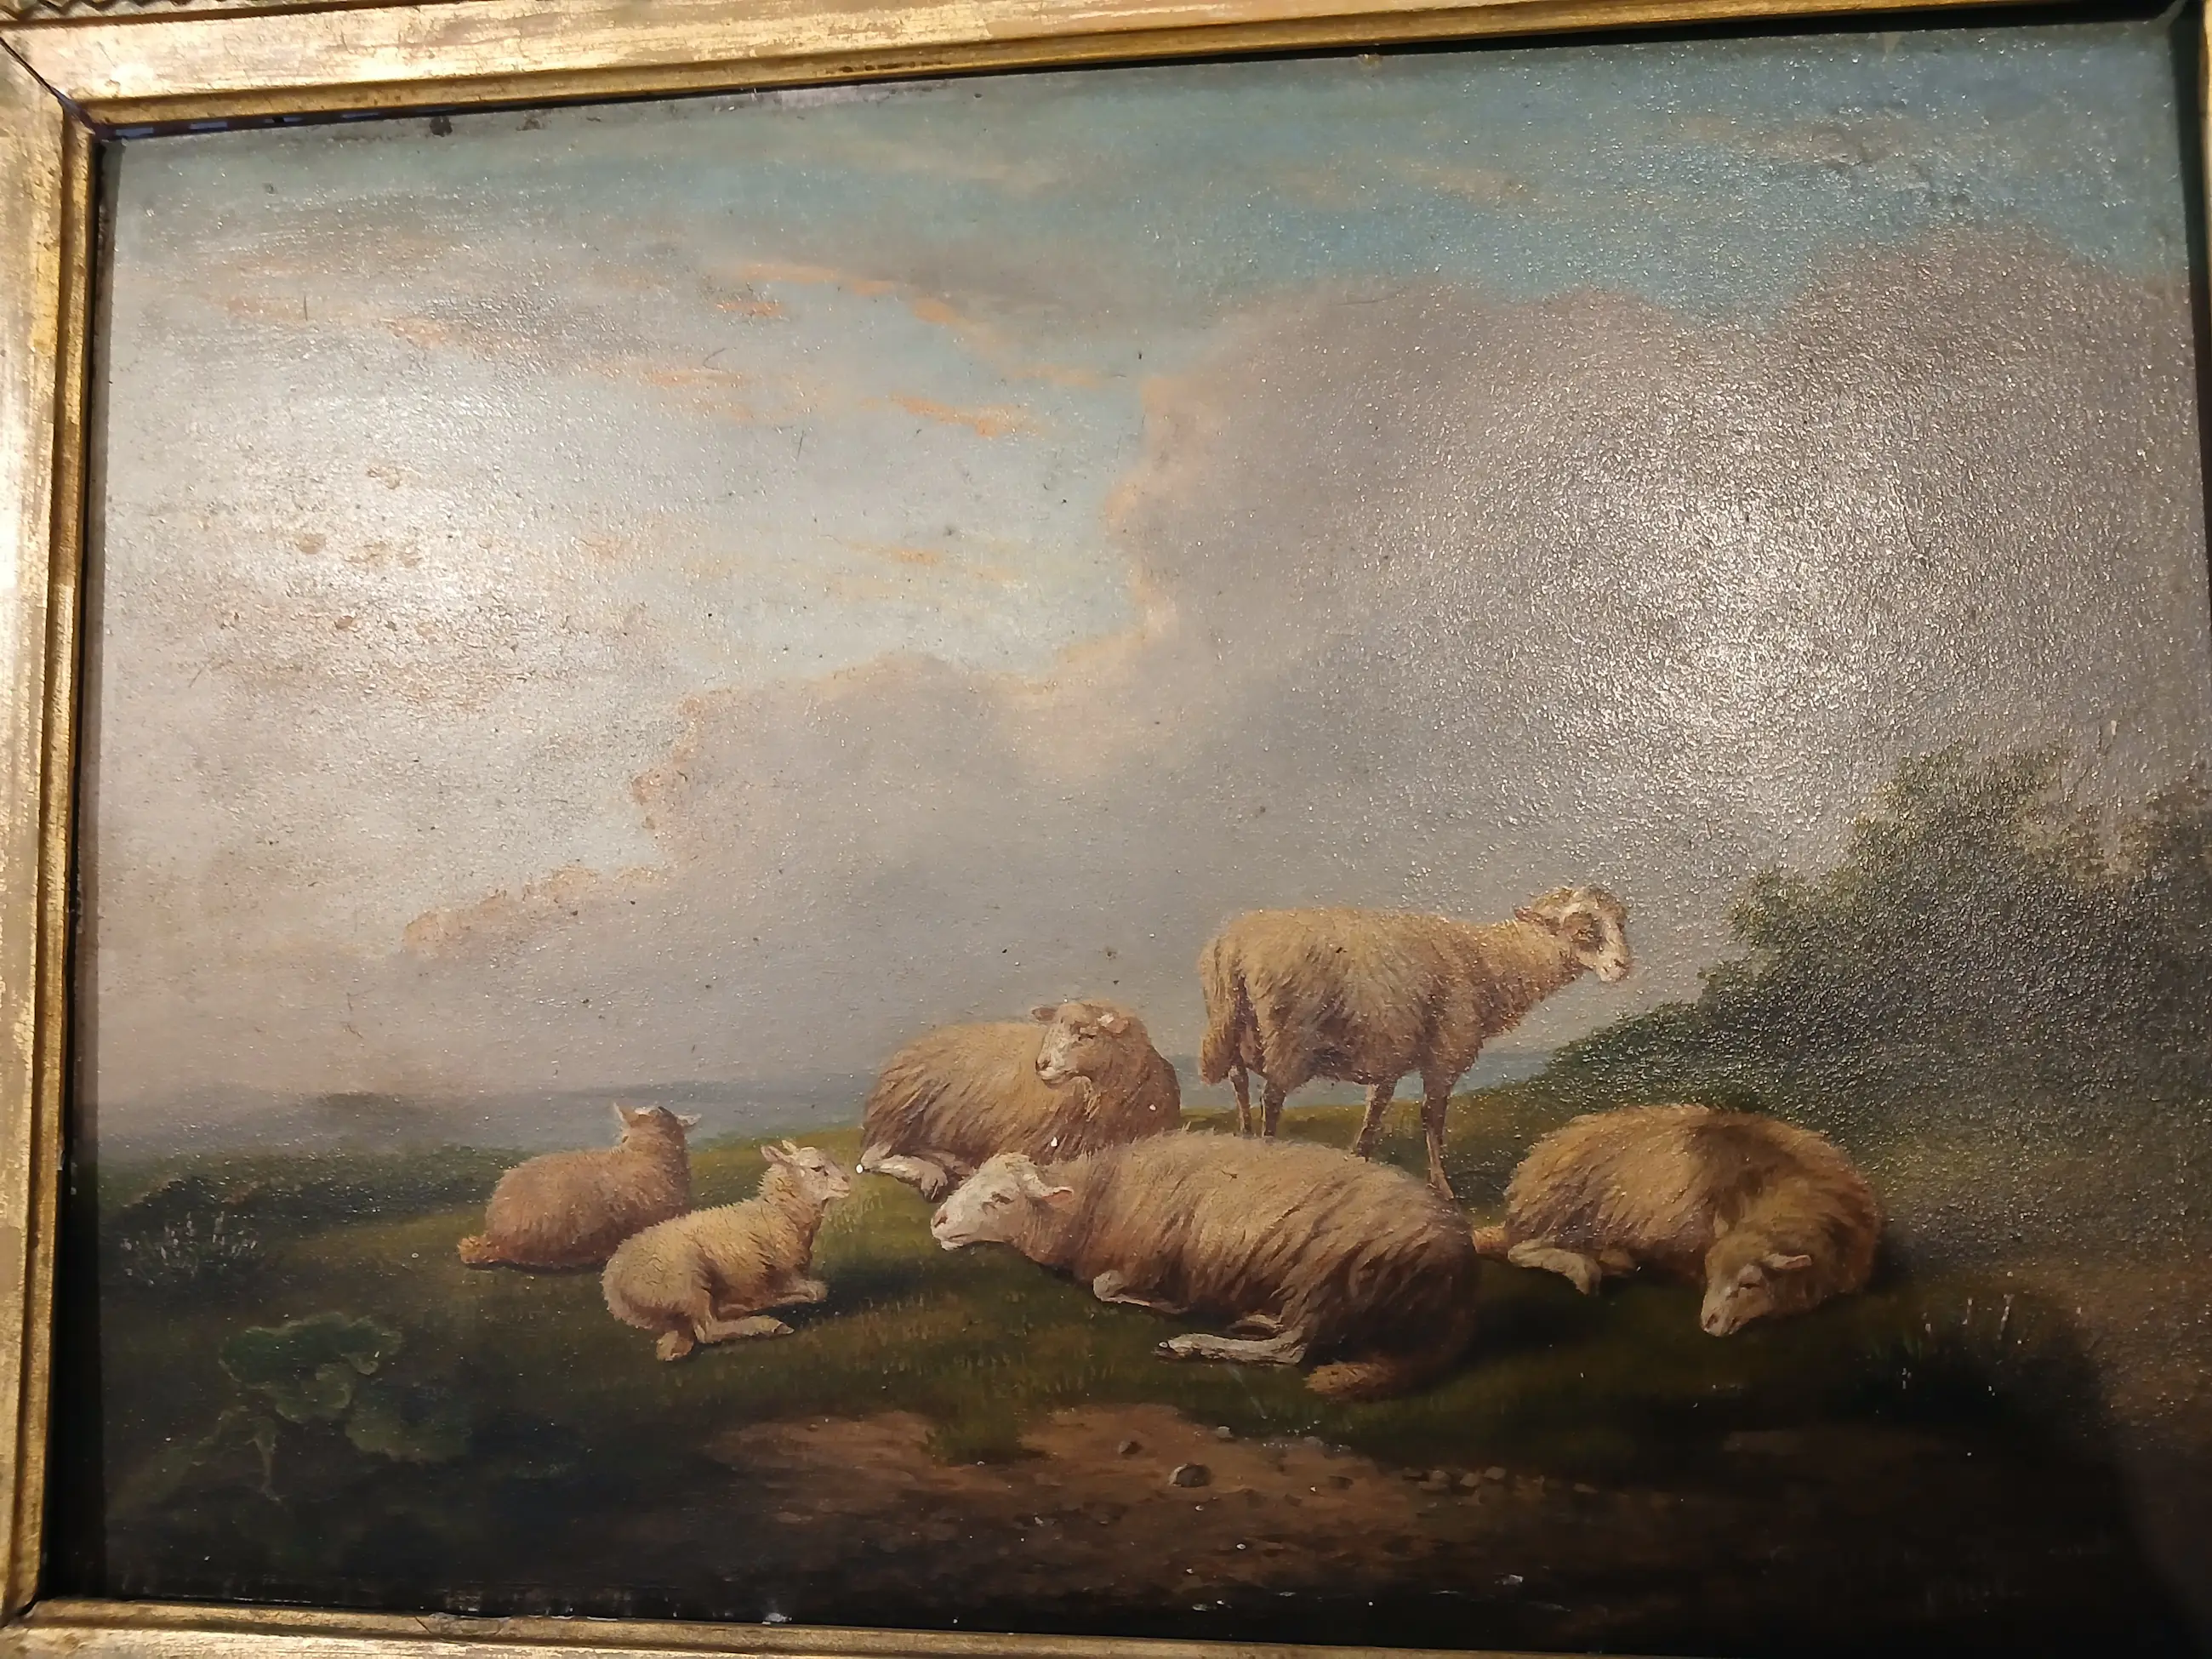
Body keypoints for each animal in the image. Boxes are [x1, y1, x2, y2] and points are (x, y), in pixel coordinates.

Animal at [602, 1140, 852, 1361]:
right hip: (687, 1281)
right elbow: (819, 1290)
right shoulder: (784, 1274)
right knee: (708, 1330)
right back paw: (768, 1325)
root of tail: (612, 1281)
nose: (847, 1180)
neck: (778, 1214)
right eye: (817, 1168)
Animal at [856, 999, 1181, 1201]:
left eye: (1086, 1035)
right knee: (871, 1159)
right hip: (904, 1110)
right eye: (1052, 1030)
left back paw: (952, 1164)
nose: (1042, 1064)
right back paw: (929, 1173)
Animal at [928, 1133, 1480, 1400]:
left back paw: (1194, 1344)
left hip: (1329, 1275)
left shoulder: (1145, 1257)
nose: (937, 1221)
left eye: (1001, 1198)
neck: (1094, 1200)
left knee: (1293, 1352)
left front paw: (1166, 1306)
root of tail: (1464, 1275)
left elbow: (1106, 1287)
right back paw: (1256, 1318)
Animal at [1197, 887, 1631, 1196]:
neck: (1489, 961)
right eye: (1584, 930)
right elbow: (1432, 1118)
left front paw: (1360, 1164)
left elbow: (1374, 1114)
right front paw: (1442, 1188)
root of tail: (1231, 946)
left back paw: (1244, 1149)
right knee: (1271, 1099)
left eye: (1621, 923)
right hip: (1288, 1038)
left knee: (1240, 1088)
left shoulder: (1387, 1057)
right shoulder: (1445, 1053)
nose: (1623, 967)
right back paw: (1268, 1158)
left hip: (1232, 1031)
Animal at [1471, 1104, 1882, 1335]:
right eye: (1712, 1275)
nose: (1708, 1322)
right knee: (1520, 1250)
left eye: (1750, 1283)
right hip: (1571, 1213)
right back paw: (1588, 1269)